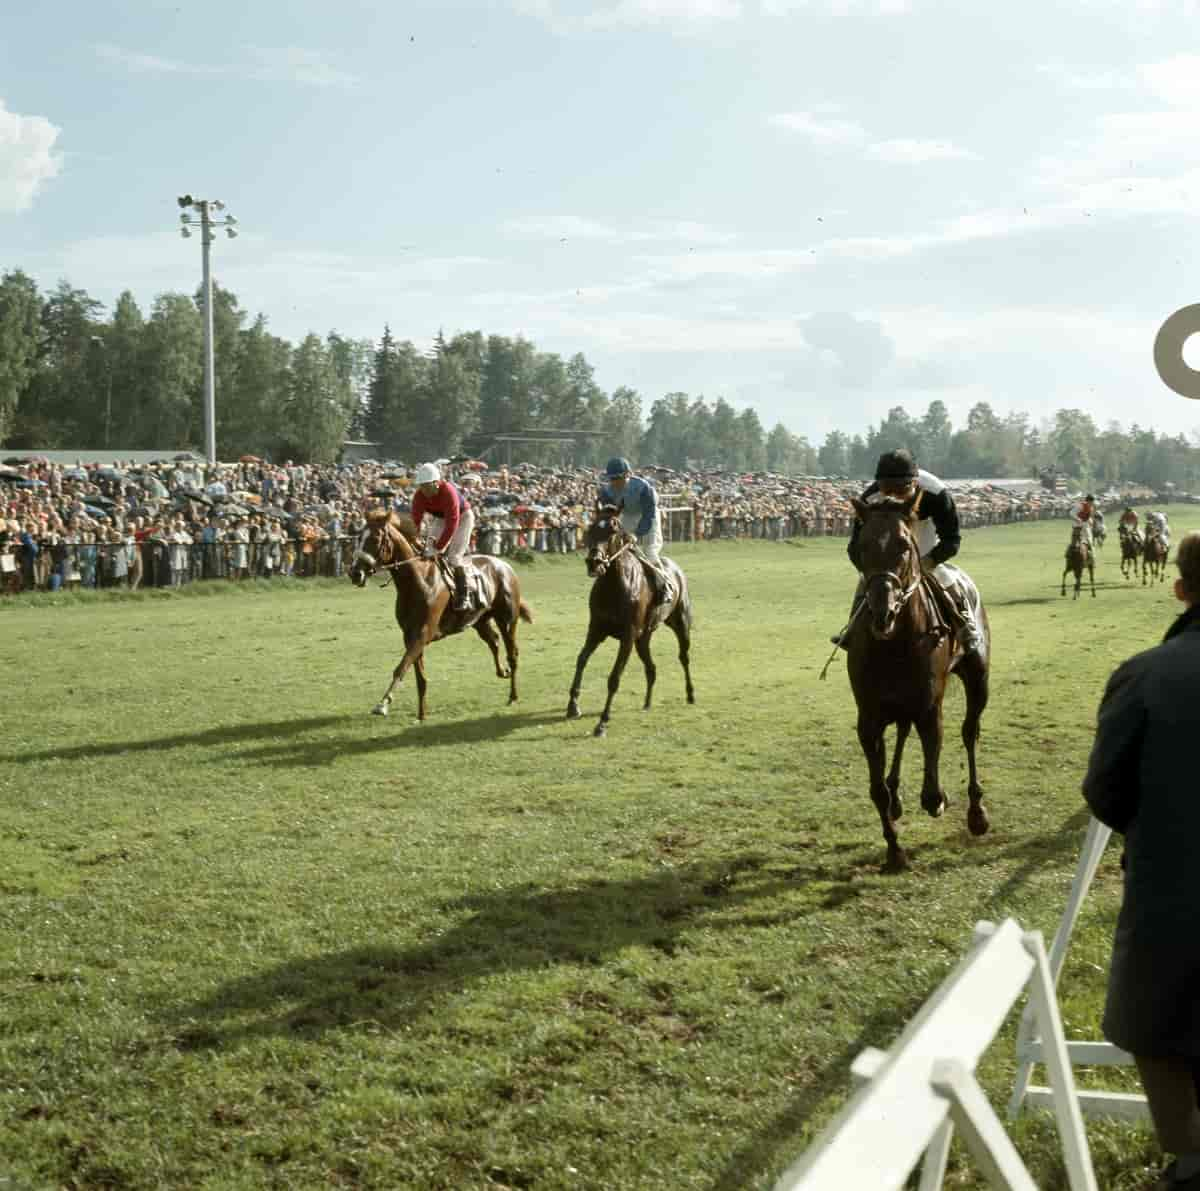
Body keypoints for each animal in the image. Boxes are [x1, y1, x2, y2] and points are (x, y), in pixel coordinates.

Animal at [350, 509, 532, 720]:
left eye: (376, 538)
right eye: (358, 538)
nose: (355, 573)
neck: (418, 581)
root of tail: (504, 565)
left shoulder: (423, 633)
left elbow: (401, 667)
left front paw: (383, 704)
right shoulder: (409, 635)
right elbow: (419, 677)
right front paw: (422, 714)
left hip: (507, 620)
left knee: (513, 653)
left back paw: (513, 695)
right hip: (479, 620)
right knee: (493, 641)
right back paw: (503, 671)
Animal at [564, 506, 696, 739]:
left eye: (612, 531)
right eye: (590, 529)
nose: (594, 563)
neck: (614, 586)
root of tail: (676, 569)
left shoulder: (627, 636)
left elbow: (614, 678)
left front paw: (602, 723)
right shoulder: (596, 630)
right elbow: (581, 659)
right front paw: (573, 705)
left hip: (680, 623)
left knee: (684, 657)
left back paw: (690, 694)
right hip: (643, 638)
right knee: (651, 668)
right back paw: (647, 702)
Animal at [840, 492, 988, 874]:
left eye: (904, 546)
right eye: (862, 546)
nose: (883, 612)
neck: (895, 642)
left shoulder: (929, 706)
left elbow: (933, 789)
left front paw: (939, 799)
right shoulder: (869, 717)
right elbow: (877, 789)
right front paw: (894, 850)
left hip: (977, 676)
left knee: (970, 731)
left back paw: (977, 812)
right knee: (903, 734)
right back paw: (897, 797)